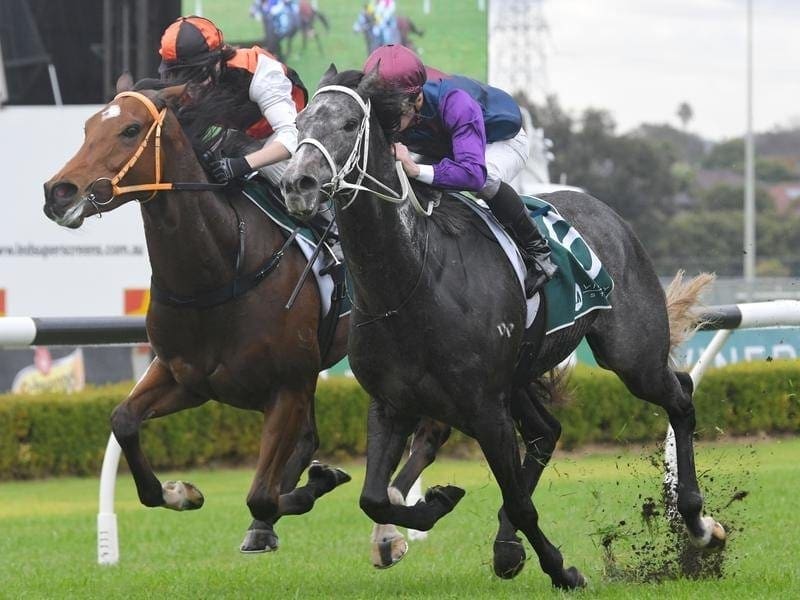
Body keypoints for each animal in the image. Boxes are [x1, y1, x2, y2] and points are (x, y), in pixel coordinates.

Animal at [41, 77, 354, 556]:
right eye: (88, 126)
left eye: (130, 130)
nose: (58, 193)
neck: (219, 272)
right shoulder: (187, 378)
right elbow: (123, 420)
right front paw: (180, 492)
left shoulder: (287, 387)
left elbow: (261, 495)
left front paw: (315, 484)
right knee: (306, 441)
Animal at [280, 65, 724, 584]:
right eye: (301, 121)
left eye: (351, 124)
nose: (297, 184)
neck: (411, 284)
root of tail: (609, 213)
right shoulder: (391, 404)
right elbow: (373, 498)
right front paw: (430, 508)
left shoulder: (484, 409)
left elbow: (517, 500)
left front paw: (562, 571)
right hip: (518, 377)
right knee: (547, 431)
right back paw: (506, 546)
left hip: (632, 356)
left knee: (680, 396)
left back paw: (700, 524)